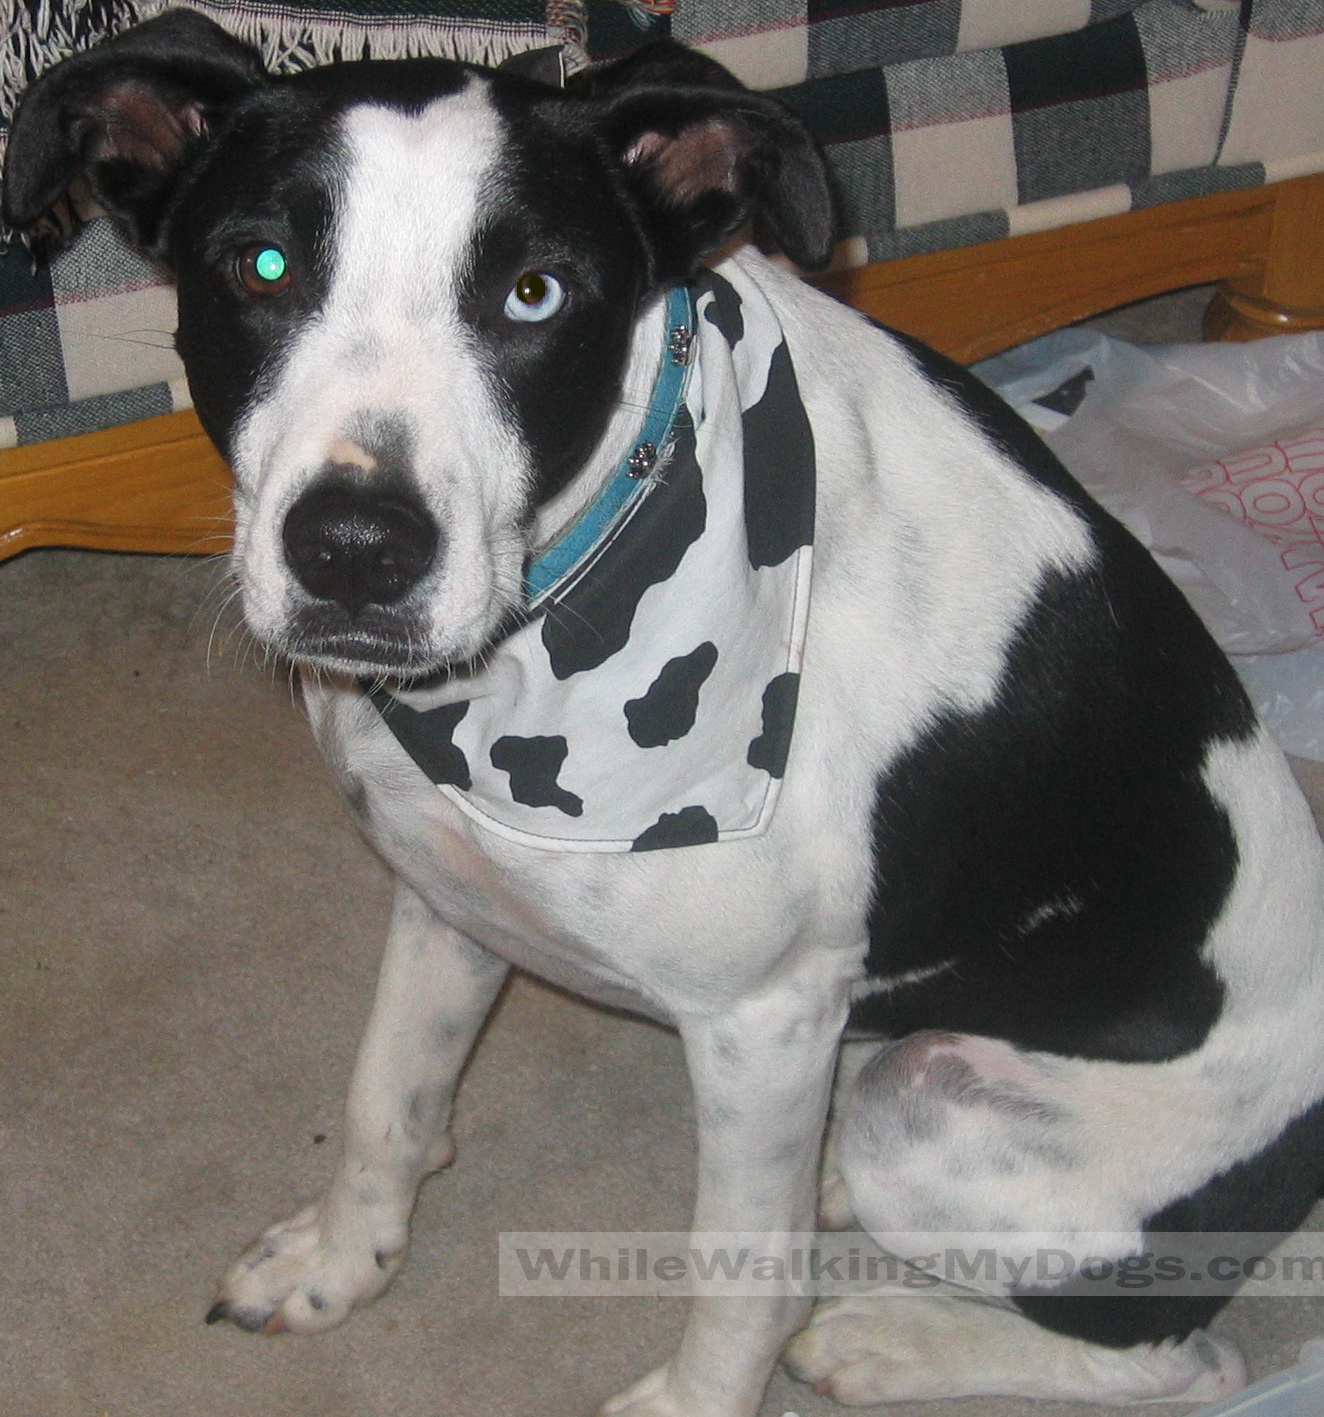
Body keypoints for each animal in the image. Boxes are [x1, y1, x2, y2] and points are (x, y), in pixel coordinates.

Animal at [9, 10, 1324, 1411]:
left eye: (534, 292)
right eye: (261, 266)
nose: (355, 551)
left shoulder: (762, 1024)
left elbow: (737, 1269)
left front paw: (701, 1397)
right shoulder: (446, 888)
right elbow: (387, 1093)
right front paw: (339, 1258)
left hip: (940, 1112)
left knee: (1183, 1356)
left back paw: (886, 1337)